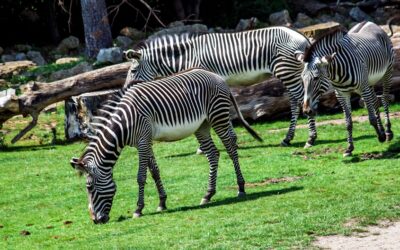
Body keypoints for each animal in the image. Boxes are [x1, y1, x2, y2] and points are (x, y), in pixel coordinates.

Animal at [70, 69, 262, 225]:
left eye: (89, 187)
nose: (96, 220)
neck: (123, 124)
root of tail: (217, 76)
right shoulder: (145, 141)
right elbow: (154, 171)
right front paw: (162, 202)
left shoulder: (142, 141)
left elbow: (141, 176)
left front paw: (138, 209)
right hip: (202, 125)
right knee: (213, 154)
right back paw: (208, 194)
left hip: (218, 116)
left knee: (230, 147)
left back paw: (241, 188)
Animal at [124, 26, 328, 148]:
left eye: (133, 70)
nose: (125, 89)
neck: (188, 55)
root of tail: (302, 36)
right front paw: (233, 139)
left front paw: (204, 147)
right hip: (290, 72)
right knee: (295, 101)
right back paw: (288, 138)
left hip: (286, 70)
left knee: (301, 99)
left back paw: (310, 138)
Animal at [296, 20, 396, 156]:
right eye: (302, 78)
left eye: (316, 78)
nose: (306, 111)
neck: (337, 73)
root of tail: (370, 22)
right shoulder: (341, 94)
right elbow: (348, 122)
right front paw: (349, 148)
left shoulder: (363, 88)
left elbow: (371, 119)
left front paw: (381, 137)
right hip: (369, 81)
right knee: (375, 101)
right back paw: (382, 130)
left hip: (387, 72)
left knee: (384, 99)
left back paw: (388, 132)